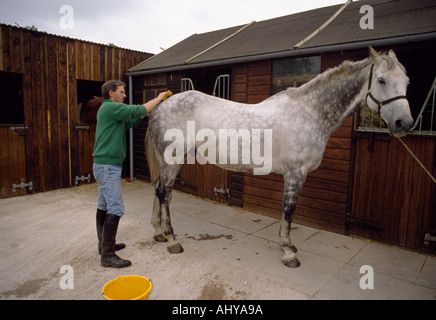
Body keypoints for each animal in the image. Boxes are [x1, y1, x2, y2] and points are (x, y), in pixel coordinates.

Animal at [146, 47, 412, 268]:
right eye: (381, 80)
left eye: (407, 81)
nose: (404, 123)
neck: (309, 113)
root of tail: (161, 106)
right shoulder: (295, 173)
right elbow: (288, 210)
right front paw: (288, 251)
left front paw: (289, 245)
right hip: (172, 160)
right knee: (165, 193)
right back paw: (172, 239)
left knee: (159, 189)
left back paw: (159, 232)